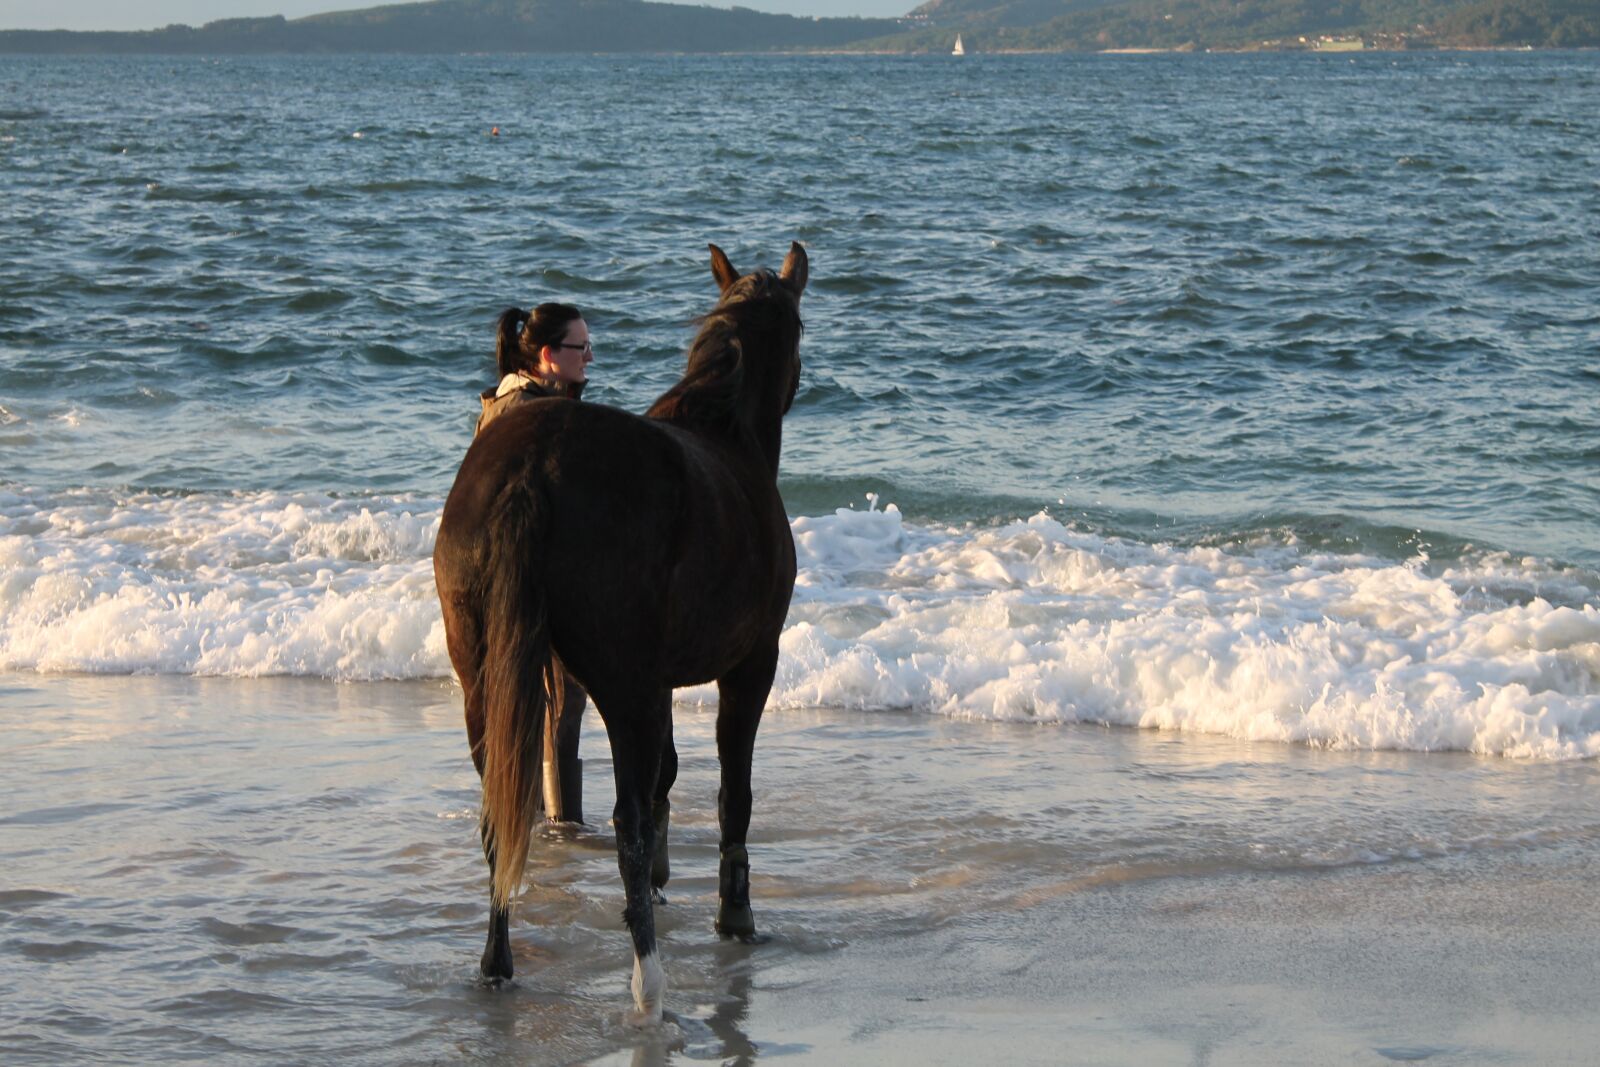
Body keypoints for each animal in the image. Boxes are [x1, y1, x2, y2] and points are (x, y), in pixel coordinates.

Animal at [433, 242, 807, 1023]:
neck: (723, 428)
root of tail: (532, 469)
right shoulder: (749, 665)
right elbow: (730, 793)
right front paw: (735, 914)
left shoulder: (660, 682)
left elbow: (668, 771)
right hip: (620, 684)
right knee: (625, 822)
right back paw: (650, 982)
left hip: (485, 682)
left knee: (501, 817)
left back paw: (497, 964)